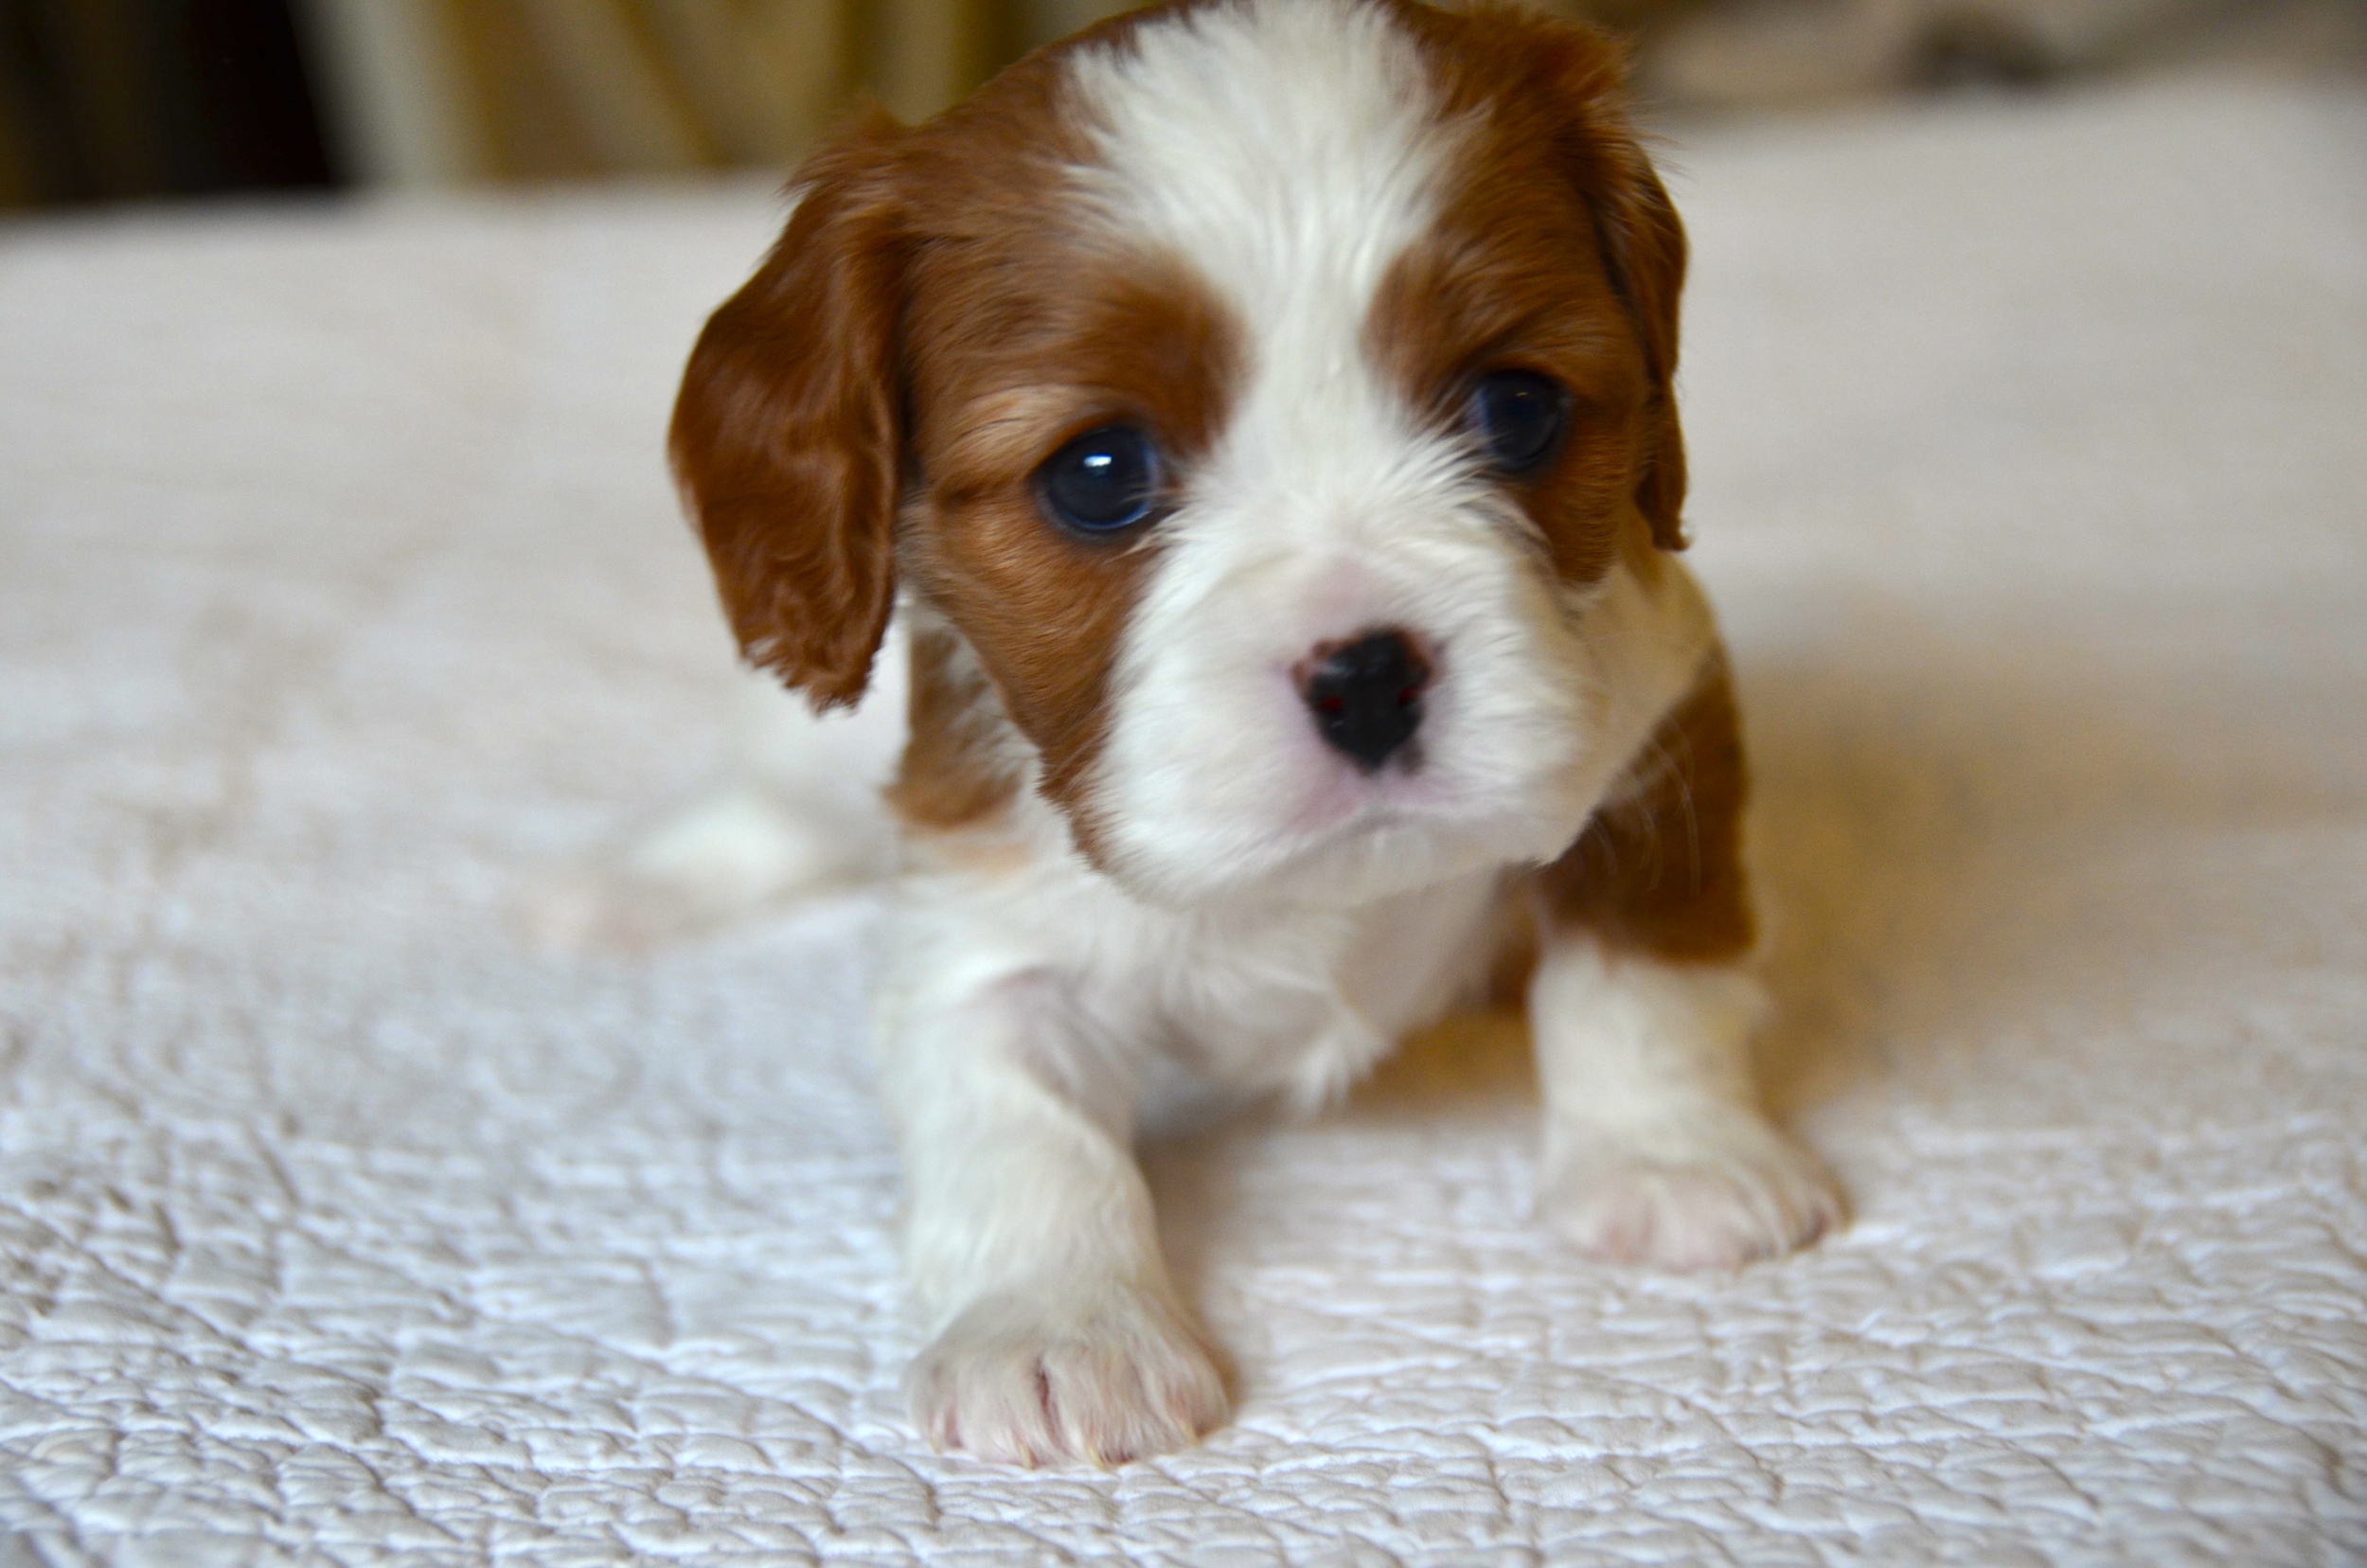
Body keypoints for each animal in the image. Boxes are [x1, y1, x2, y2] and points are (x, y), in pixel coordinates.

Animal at [639, 0, 1837, 1477]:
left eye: (1517, 408)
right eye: (1097, 474)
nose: (1369, 676)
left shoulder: (1654, 721)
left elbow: (1643, 969)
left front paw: (1675, 1161)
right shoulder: (976, 912)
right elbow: (1016, 1120)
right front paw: (1060, 1332)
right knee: (762, 811)